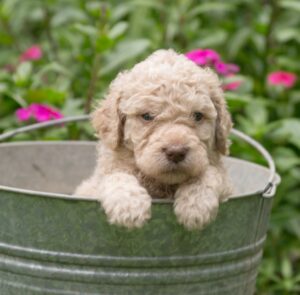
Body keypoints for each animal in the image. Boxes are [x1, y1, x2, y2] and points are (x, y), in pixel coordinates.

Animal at [74, 49, 232, 231]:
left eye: (198, 116)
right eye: (147, 116)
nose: (176, 152)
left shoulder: (226, 184)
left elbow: (211, 173)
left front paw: (196, 205)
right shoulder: (99, 179)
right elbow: (116, 176)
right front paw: (130, 207)